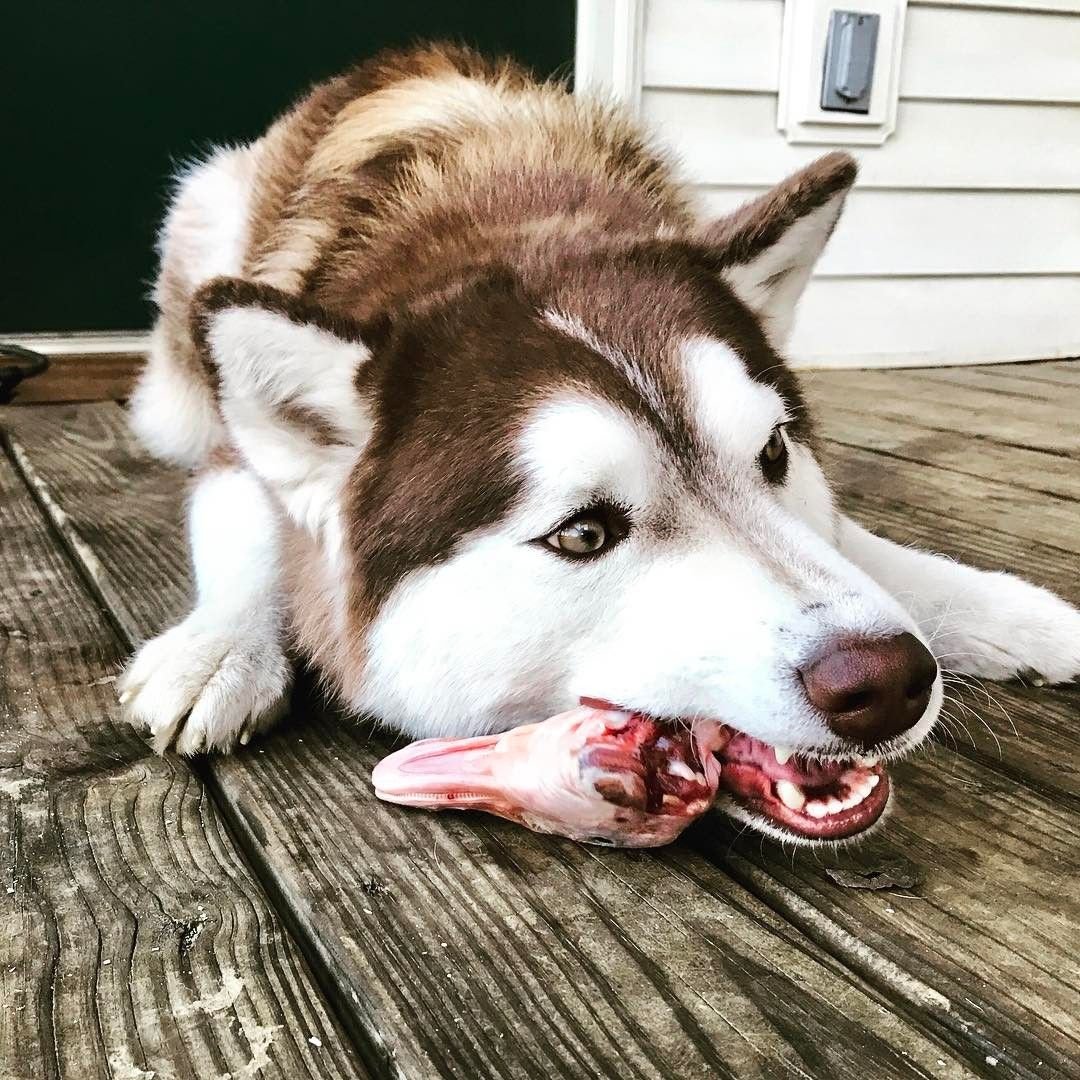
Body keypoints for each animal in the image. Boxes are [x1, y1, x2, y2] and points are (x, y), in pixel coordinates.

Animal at [120, 48, 1080, 842]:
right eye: (583, 533)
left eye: (774, 454)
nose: (885, 681)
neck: (508, 211)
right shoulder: (237, 458)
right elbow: (246, 518)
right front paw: (221, 648)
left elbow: (857, 546)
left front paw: (1015, 613)